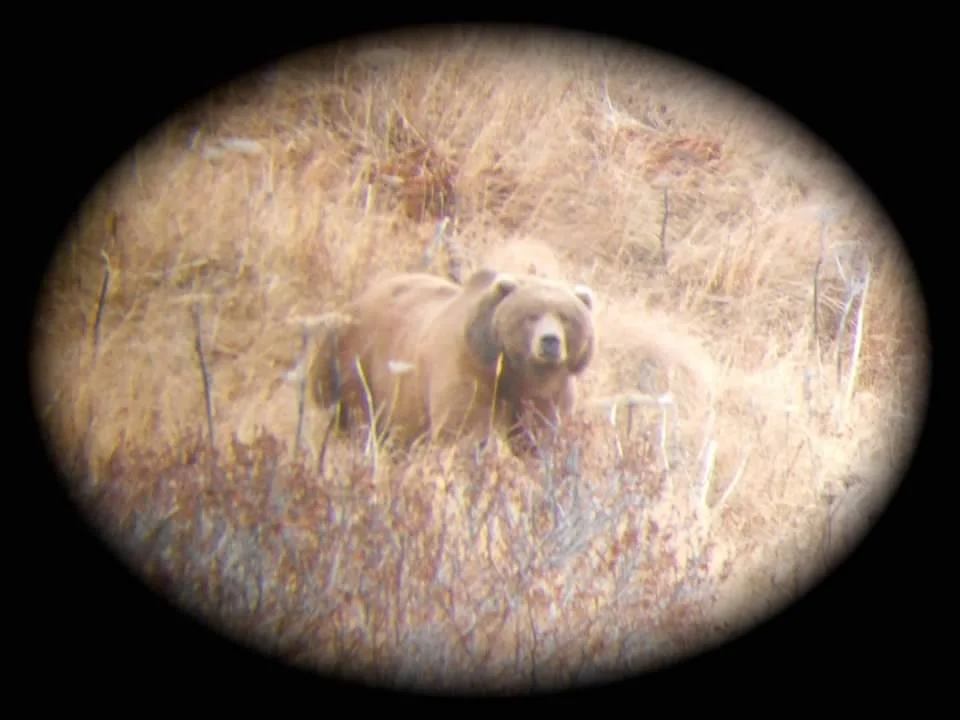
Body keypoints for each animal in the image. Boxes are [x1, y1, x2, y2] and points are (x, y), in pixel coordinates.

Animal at [309, 267, 597, 455]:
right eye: (531, 316)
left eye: (565, 317)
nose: (549, 341)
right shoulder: (468, 367)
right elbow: (463, 432)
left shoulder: (550, 390)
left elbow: (541, 434)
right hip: (353, 360)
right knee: (351, 413)